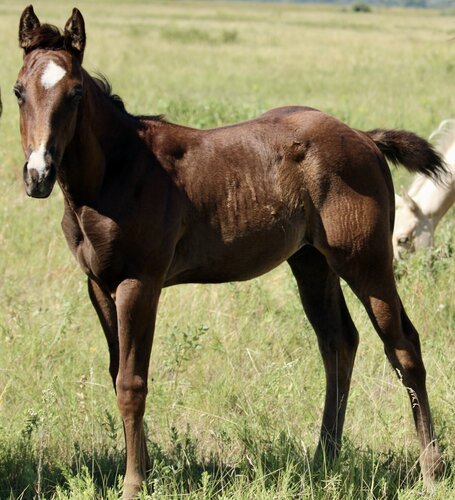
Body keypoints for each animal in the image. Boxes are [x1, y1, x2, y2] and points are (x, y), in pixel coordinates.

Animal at [16, 5, 448, 498]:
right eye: (17, 92)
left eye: (75, 93)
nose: (38, 175)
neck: (117, 173)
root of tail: (364, 136)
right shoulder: (99, 287)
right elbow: (116, 372)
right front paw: (144, 467)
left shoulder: (139, 283)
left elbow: (131, 382)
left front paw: (134, 482)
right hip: (311, 262)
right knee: (339, 342)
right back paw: (324, 459)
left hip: (365, 261)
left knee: (403, 347)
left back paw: (431, 468)